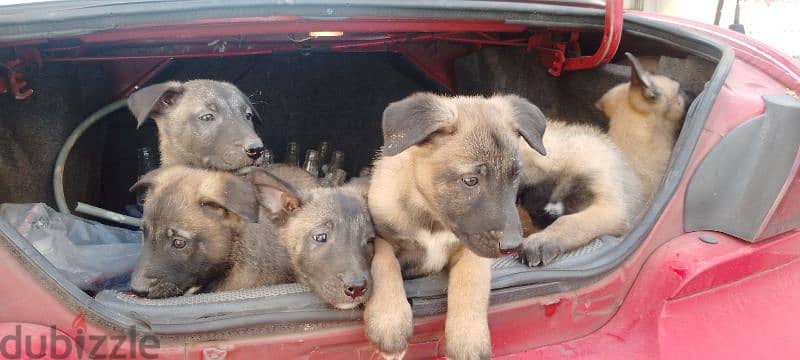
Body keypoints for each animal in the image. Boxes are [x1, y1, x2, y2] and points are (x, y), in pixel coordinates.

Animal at [366, 93, 548, 360]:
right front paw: (389, 320)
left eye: (514, 175)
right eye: (470, 180)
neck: (433, 219)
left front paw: (468, 340)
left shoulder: (472, 249)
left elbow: (471, 283)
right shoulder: (380, 236)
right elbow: (383, 262)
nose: (513, 246)